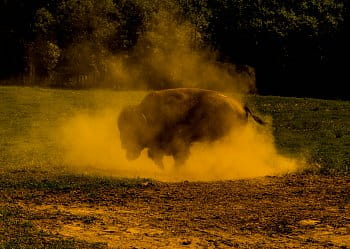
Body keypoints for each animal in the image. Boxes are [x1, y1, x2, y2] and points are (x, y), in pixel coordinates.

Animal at [116, 87, 264, 167]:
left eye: (132, 129)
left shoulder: (179, 143)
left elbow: (177, 156)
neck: (148, 116)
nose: (123, 145)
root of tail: (242, 106)